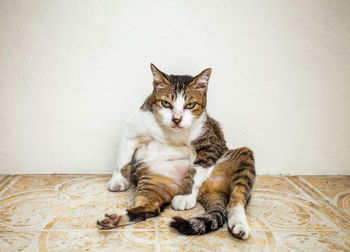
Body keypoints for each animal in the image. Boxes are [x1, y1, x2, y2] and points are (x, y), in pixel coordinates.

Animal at [97, 64, 256, 239]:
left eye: (190, 105)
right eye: (166, 103)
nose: (177, 119)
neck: (170, 133)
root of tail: (210, 191)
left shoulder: (210, 145)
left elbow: (195, 171)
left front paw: (185, 197)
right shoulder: (132, 130)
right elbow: (123, 159)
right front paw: (118, 180)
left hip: (242, 157)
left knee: (236, 200)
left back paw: (239, 224)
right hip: (153, 180)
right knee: (151, 207)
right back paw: (115, 218)